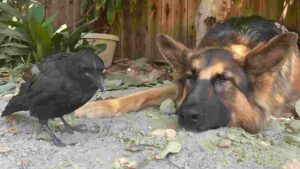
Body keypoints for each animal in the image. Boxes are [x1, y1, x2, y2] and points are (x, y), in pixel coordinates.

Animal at [75, 16, 300, 134]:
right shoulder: (176, 86)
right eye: (191, 77)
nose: (184, 115)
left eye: (224, 80)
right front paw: (98, 106)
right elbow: (139, 95)